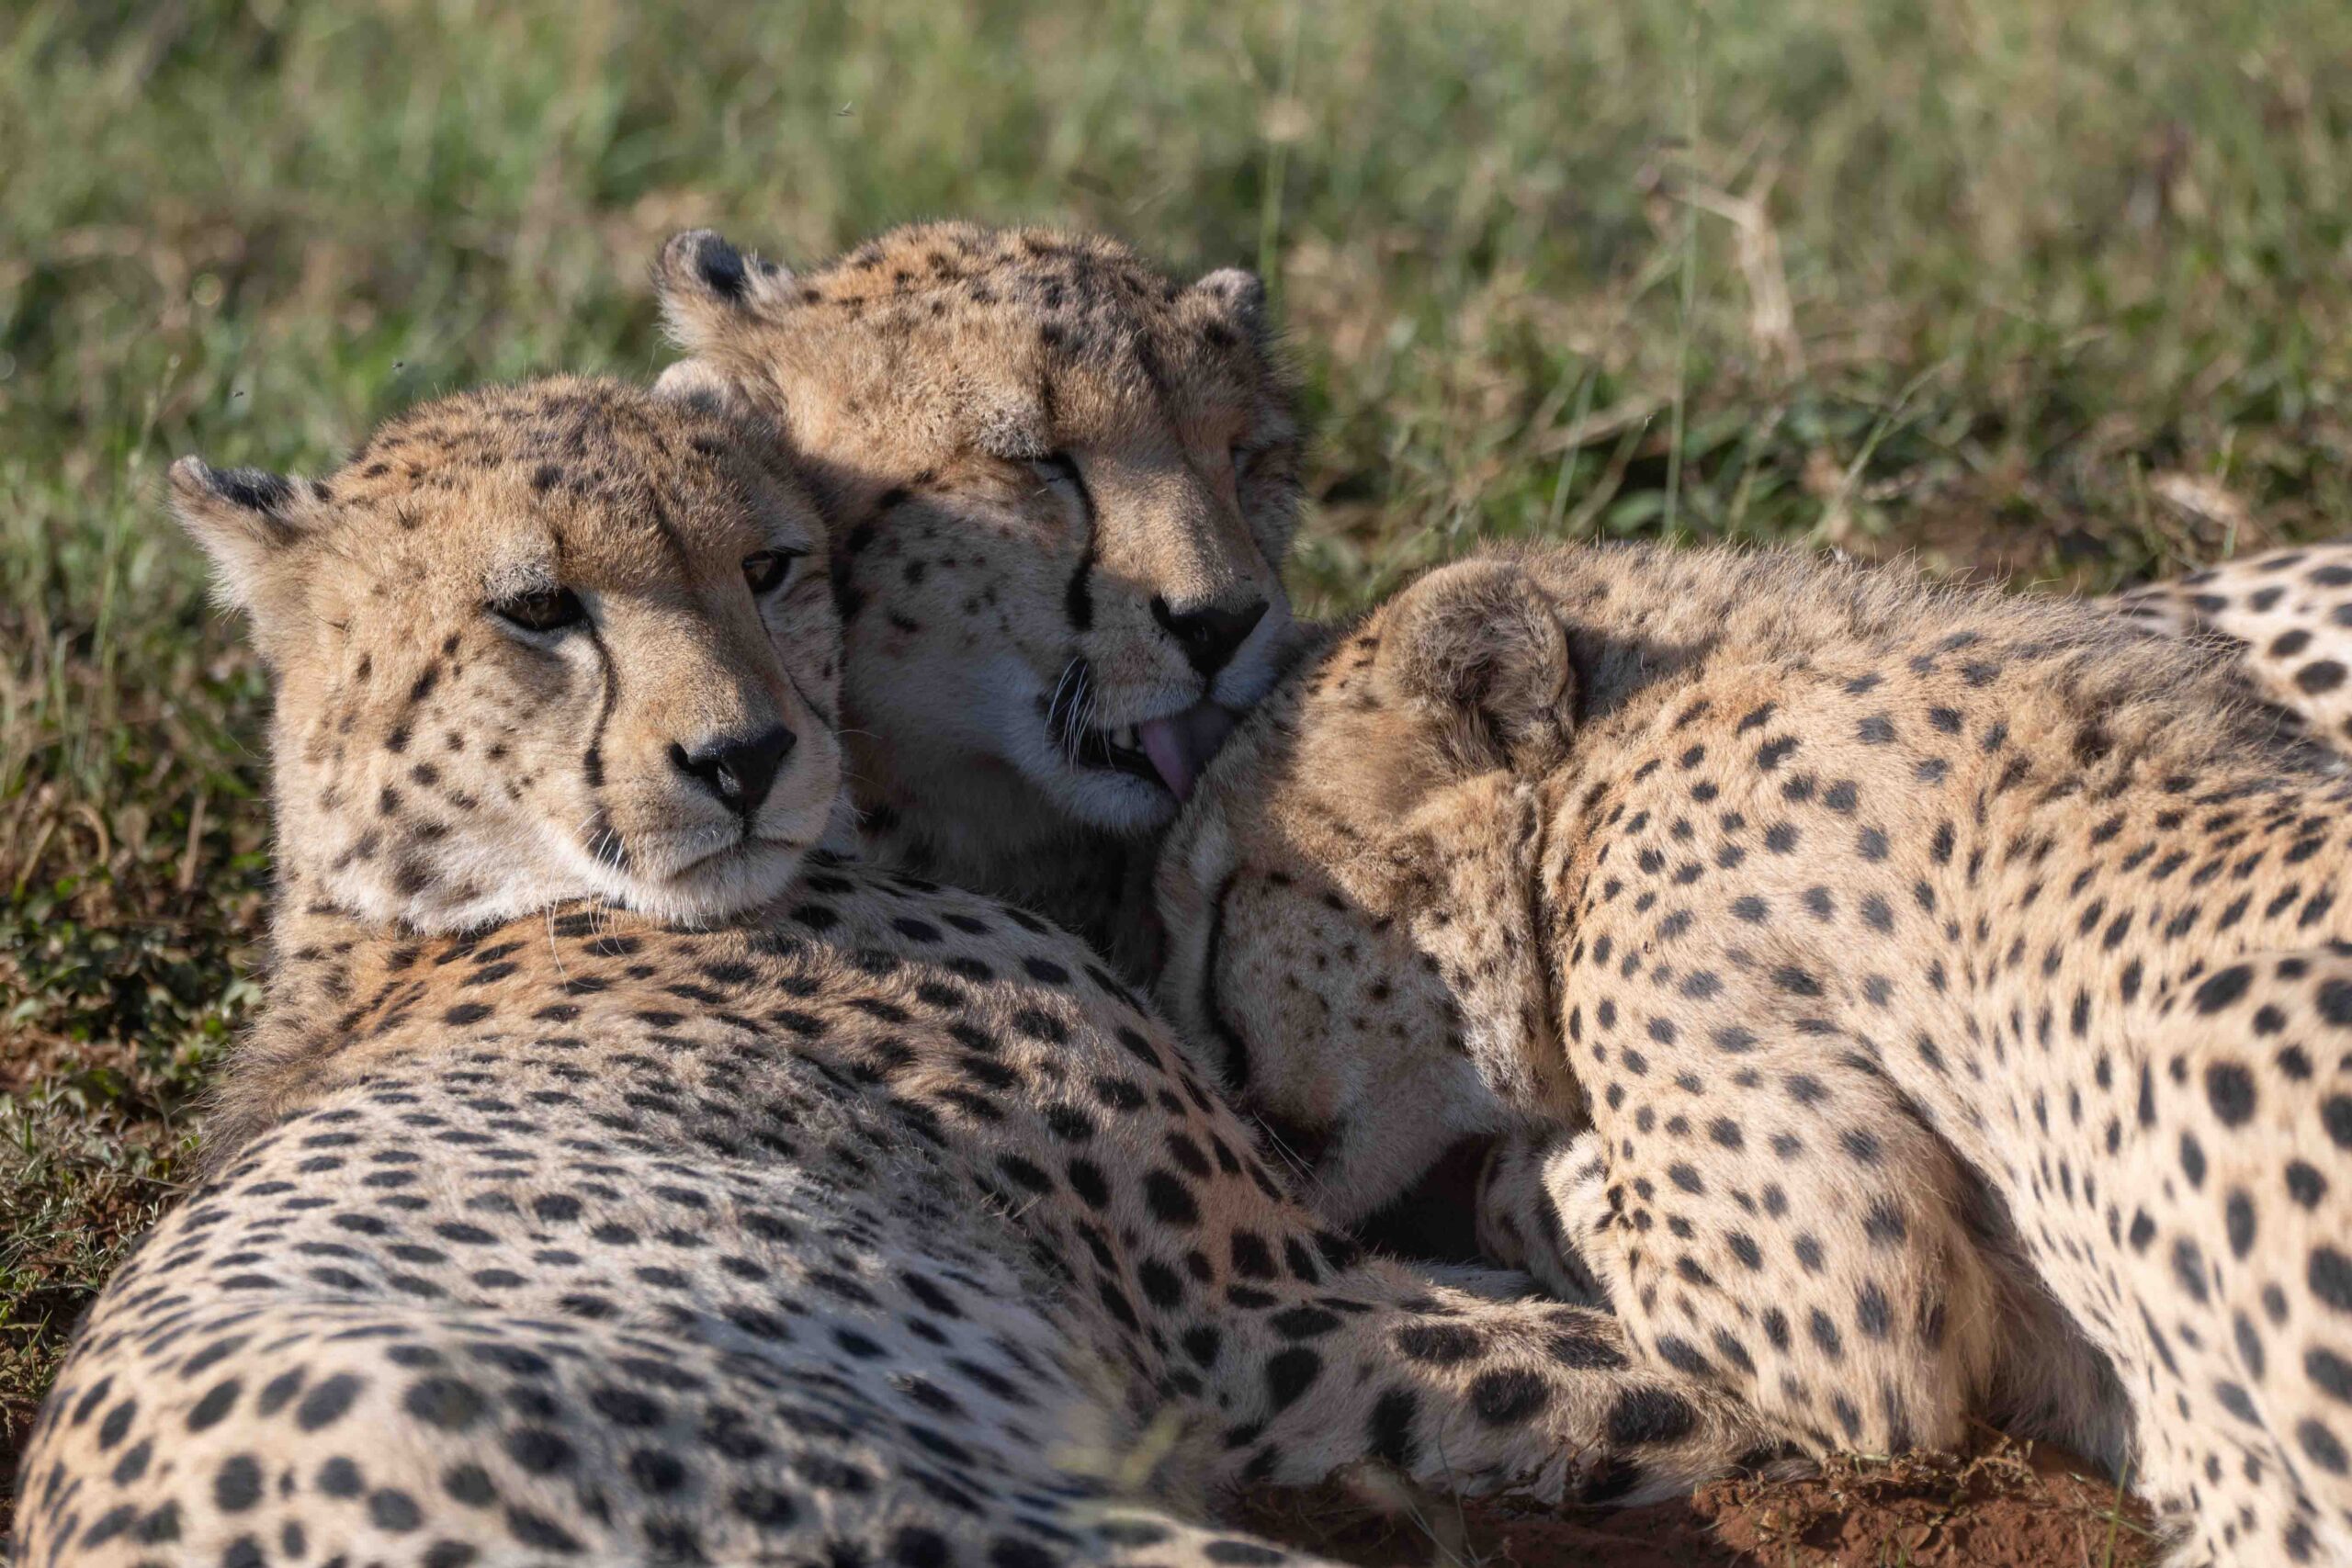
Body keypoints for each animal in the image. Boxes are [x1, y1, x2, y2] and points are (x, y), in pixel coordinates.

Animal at [12, 381, 1799, 1568]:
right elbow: (1739, 1378)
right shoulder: (1270, 1313)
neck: (440, 913)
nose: (744, 758)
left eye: (770, 566)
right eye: (536, 607)